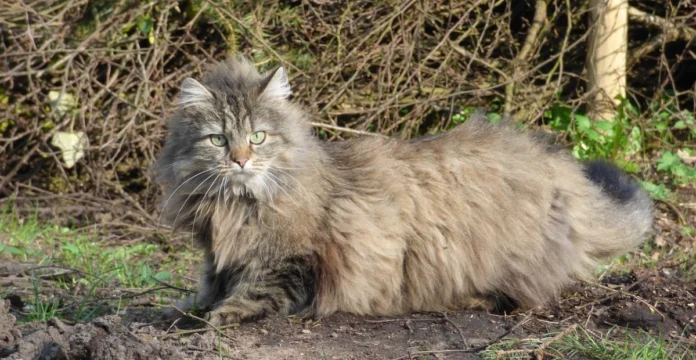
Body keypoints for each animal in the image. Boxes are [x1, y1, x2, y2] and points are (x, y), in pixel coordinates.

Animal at [151, 57, 652, 326]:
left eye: (257, 137)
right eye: (218, 140)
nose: (240, 160)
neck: (235, 206)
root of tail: (557, 167)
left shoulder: (293, 262)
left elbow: (253, 292)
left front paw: (221, 315)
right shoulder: (216, 257)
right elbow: (203, 289)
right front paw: (177, 310)